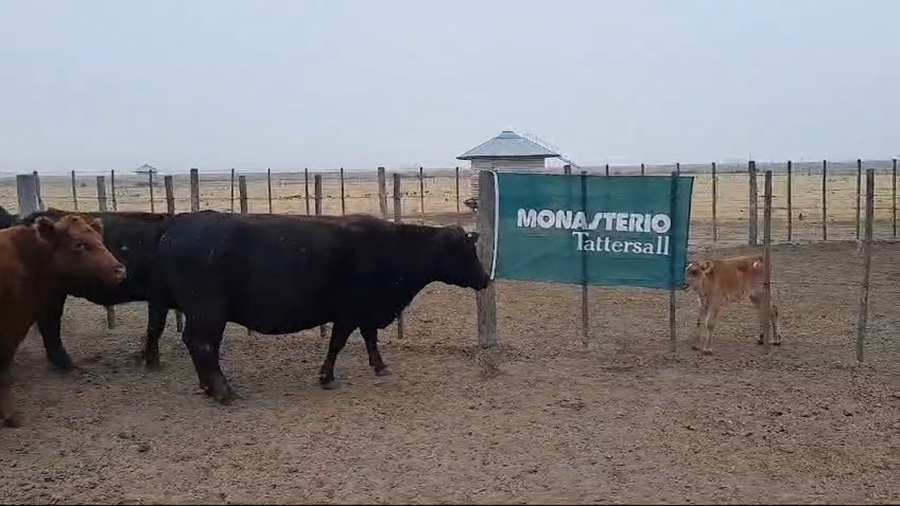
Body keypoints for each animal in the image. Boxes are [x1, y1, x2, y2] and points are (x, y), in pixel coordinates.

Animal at [149, 211, 491, 404]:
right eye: (466, 252)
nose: (485, 278)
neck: (391, 248)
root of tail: (177, 225)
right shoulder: (350, 311)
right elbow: (338, 343)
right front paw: (326, 376)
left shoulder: (364, 311)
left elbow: (370, 338)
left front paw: (379, 365)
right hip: (208, 310)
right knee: (203, 344)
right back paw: (223, 391)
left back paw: (209, 386)